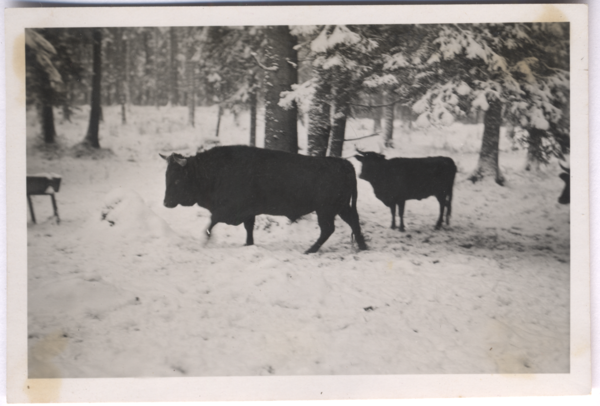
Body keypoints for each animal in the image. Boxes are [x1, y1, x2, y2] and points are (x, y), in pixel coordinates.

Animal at [159, 146, 368, 254]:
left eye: (177, 179)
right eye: (166, 176)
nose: (166, 203)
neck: (211, 171)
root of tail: (343, 163)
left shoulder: (229, 211)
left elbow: (212, 222)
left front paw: (205, 239)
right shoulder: (248, 213)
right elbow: (248, 228)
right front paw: (248, 244)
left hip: (326, 210)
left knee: (328, 229)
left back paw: (310, 250)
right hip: (341, 208)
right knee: (353, 222)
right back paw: (363, 246)